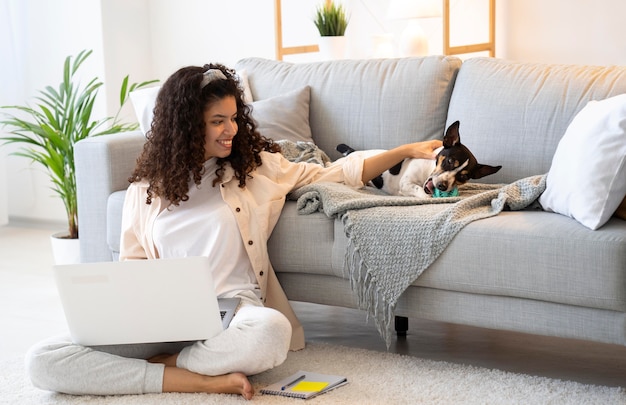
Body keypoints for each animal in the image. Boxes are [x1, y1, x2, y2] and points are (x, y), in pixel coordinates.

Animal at [334, 120, 500, 197]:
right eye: (450, 161)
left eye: (463, 177)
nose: (442, 186)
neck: (427, 172)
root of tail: (354, 152)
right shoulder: (406, 183)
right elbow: (422, 193)